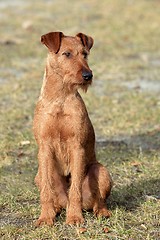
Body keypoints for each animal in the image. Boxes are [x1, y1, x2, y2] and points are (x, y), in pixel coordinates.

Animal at [33, 31, 112, 225]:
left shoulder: (77, 147)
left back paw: (101, 212)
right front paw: (45, 218)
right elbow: (46, 190)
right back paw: (54, 209)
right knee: (54, 196)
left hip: (101, 171)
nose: (88, 75)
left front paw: (75, 218)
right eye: (67, 54)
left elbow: (75, 189)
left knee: (98, 200)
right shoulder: (44, 147)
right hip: (38, 174)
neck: (60, 98)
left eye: (85, 54)